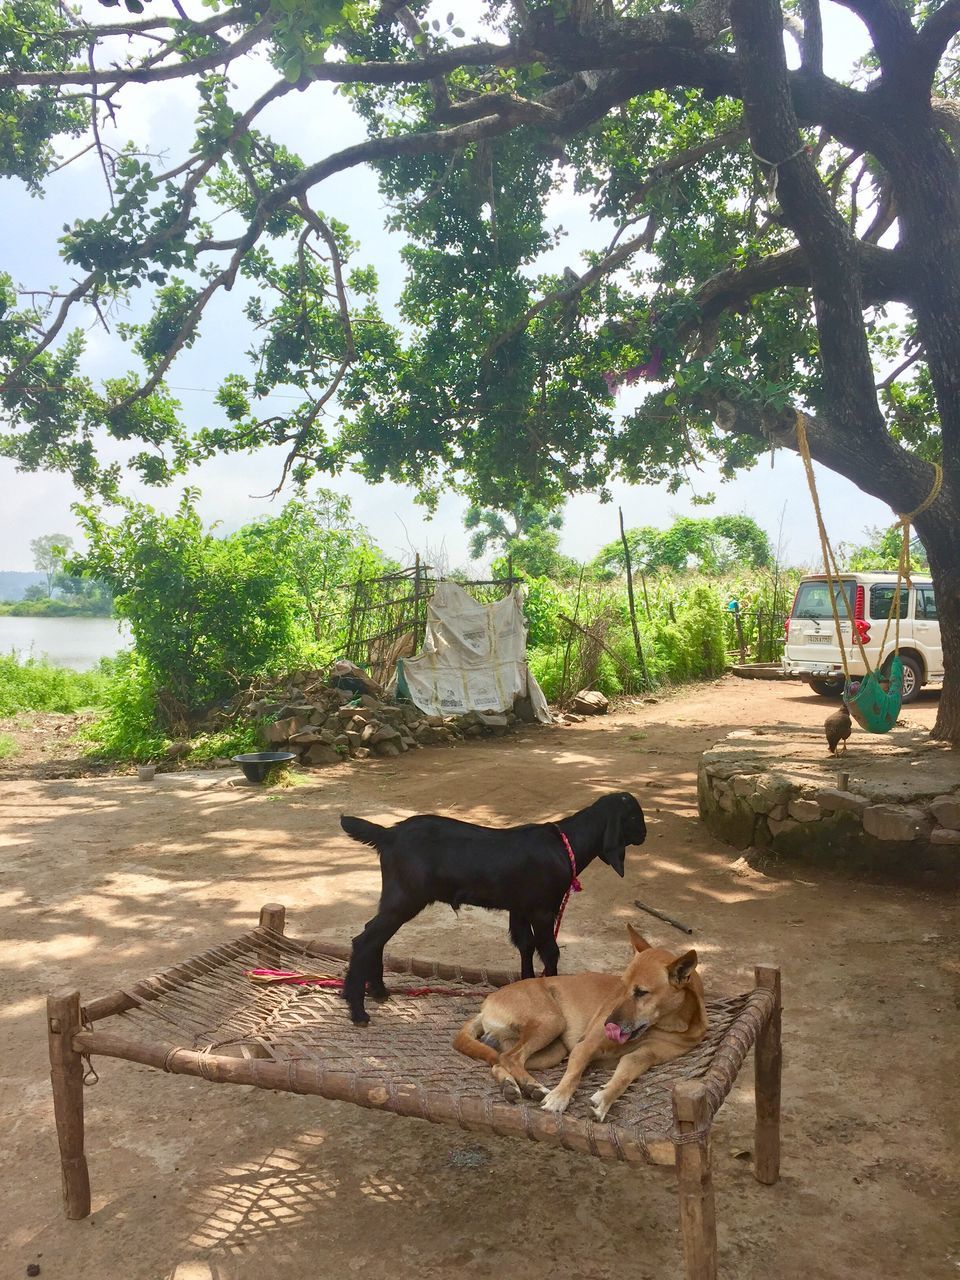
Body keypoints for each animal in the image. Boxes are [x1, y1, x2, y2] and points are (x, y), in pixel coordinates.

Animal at [337, 793, 647, 1024]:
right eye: (634, 816)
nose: (644, 834)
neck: (565, 844)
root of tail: (388, 835)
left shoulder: (520, 908)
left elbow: (526, 945)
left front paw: (526, 989)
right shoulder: (543, 909)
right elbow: (549, 951)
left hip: (397, 898)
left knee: (374, 937)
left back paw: (378, 991)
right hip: (406, 897)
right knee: (365, 939)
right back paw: (358, 1010)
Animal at [455, 931, 711, 1121]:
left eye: (641, 992)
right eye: (622, 987)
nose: (607, 1024)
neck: (668, 1024)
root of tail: (486, 1003)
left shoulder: (642, 1057)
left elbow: (622, 1078)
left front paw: (604, 1100)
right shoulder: (585, 1046)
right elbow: (574, 1075)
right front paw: (559, 1097)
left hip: (552, 1051)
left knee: (500, 1060)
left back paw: (513, 1085)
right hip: (552, 1022)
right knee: (510, 1058)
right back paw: (531, 1085)